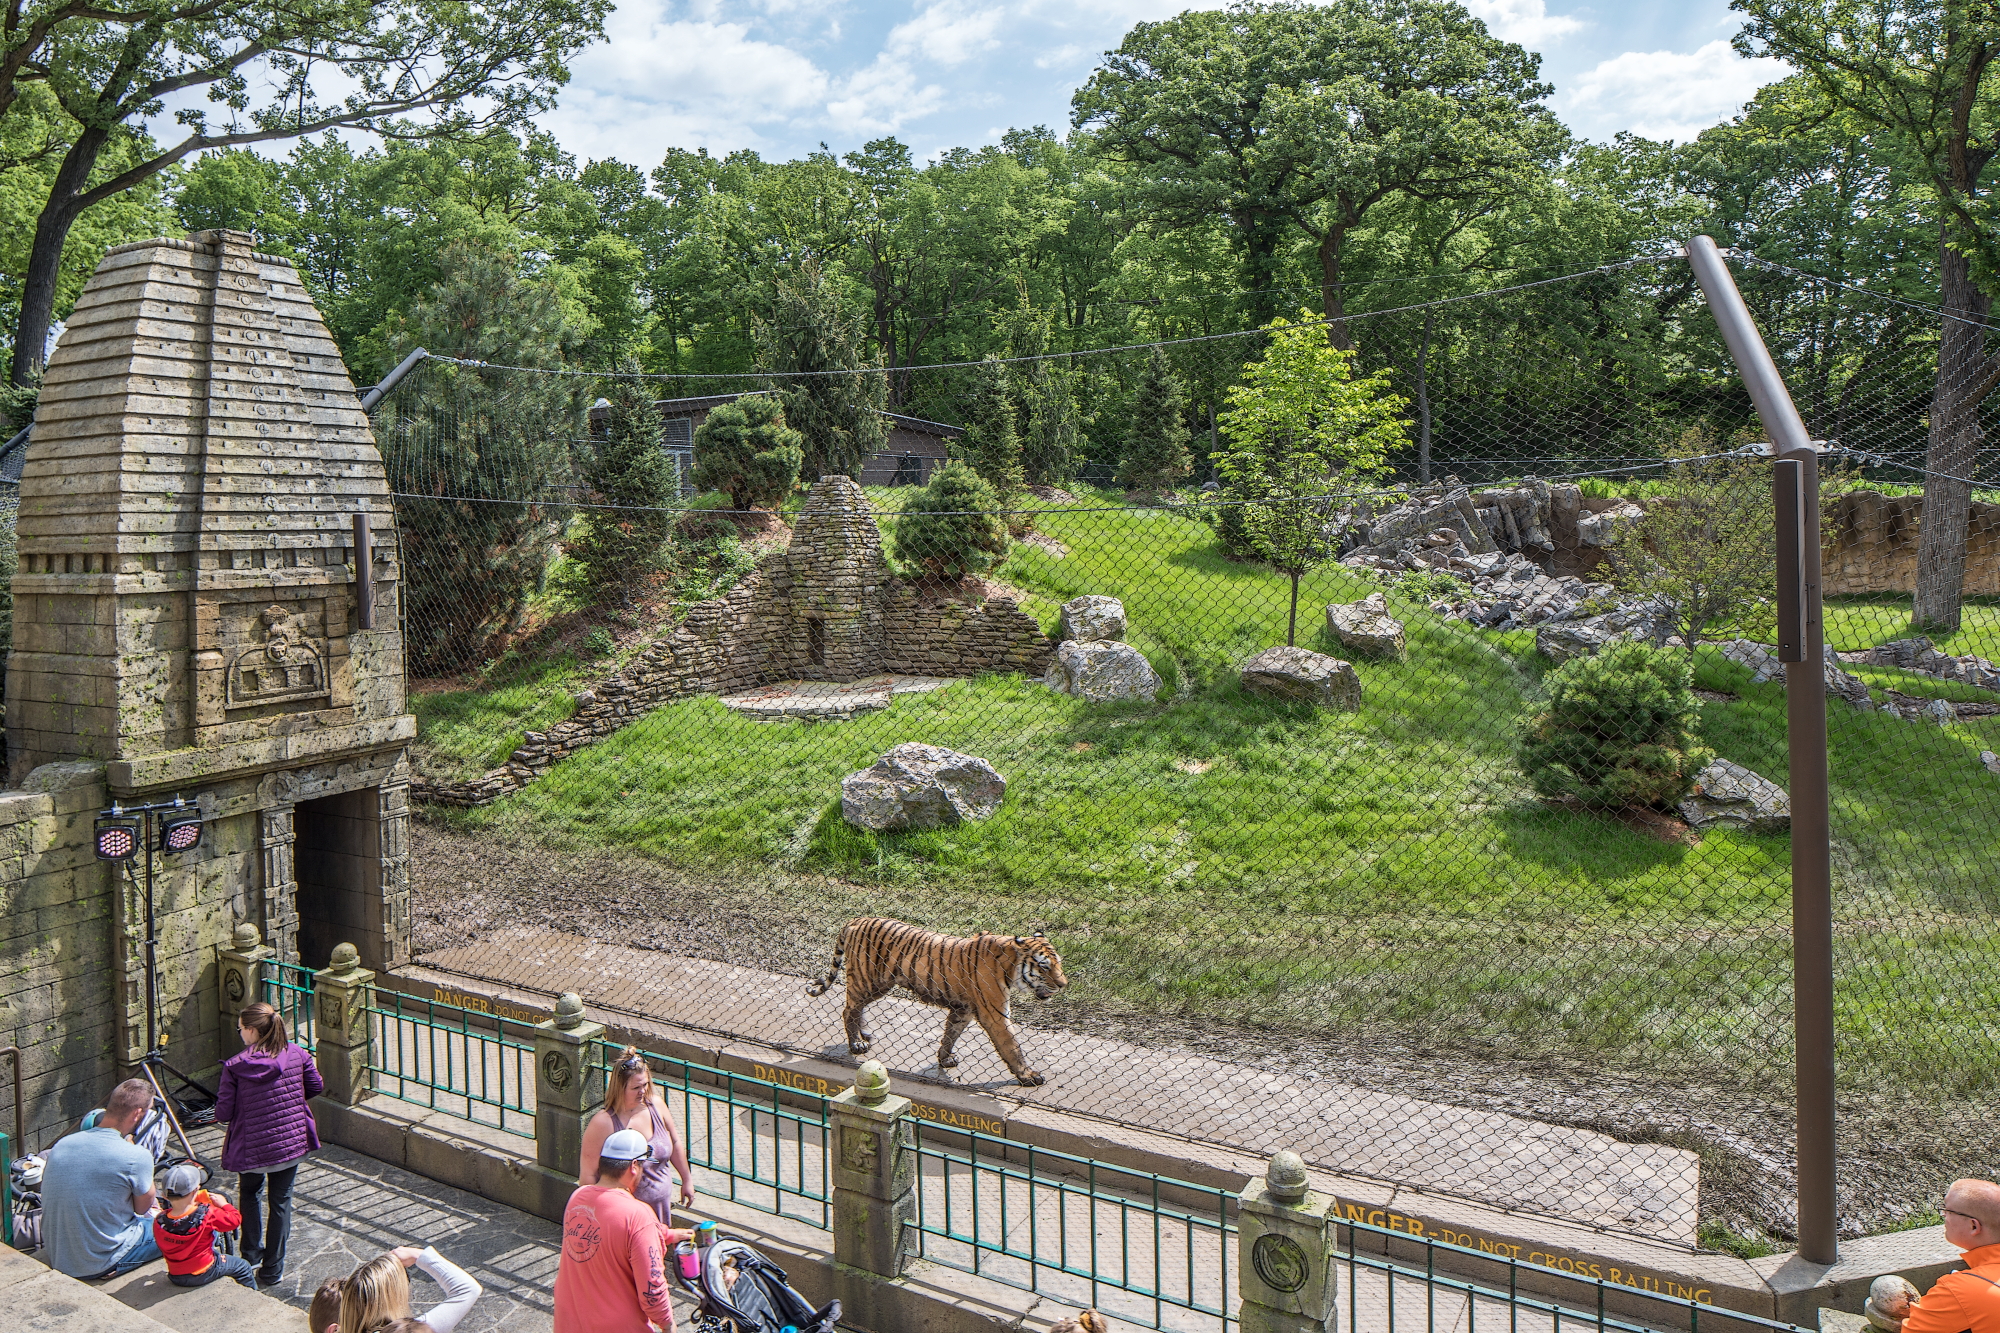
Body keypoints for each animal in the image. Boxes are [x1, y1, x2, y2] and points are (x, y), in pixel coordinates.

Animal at [804, 920, 1072, 1088]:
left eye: (1059, 963)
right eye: (1044, 967)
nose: (1063, 984)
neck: (1011, 967)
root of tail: (856, 920)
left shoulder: (964, 1008)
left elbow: (950, 1033)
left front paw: (945, 1058)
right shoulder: (995, 1013)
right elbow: (1012, 1047)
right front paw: (1029, 1076)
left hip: (878, 985)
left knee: (857, 1007)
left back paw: (865, 1035)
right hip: (866, 980)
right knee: (848, 1009)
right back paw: (856, 1043)